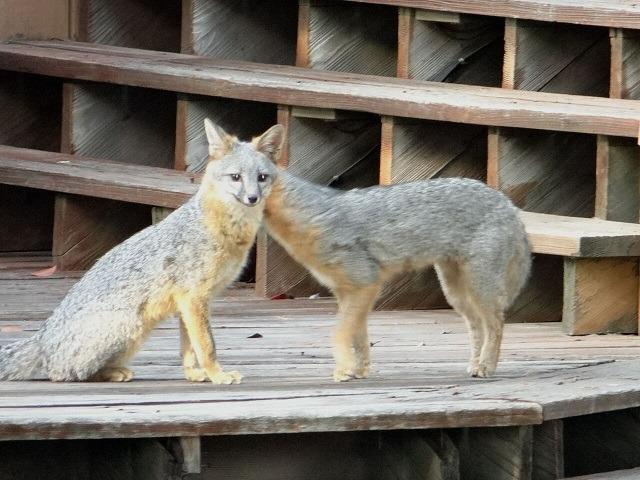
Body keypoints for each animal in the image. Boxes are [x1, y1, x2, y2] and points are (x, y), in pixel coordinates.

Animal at [0, 119, 282, 382]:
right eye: (236, 177)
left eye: (262, 178)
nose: (253, 198)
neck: (223, 229)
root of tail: (42, 338)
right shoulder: (194, 296)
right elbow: (207, 346)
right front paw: (217, 375)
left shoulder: (192, 301)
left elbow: (189, 347)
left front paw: (194, 374)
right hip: (130, 325)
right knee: (65, 373)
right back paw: (111, 373)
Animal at [258, 128, 532, 382]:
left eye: (259, 178)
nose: (250, 198)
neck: (312, 216)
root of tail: (506, 201)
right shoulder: (346, 291)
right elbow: (358, 337)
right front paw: (358, 370)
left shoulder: (365, 284)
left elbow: (343, 333)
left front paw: (345, 370)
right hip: (455, 292)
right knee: (477, 326)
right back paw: (475, 365)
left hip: (479, 286)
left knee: (496, 323)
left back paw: (486, 365)